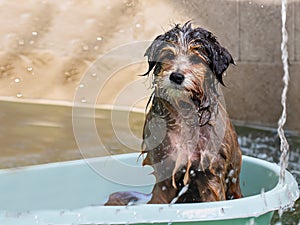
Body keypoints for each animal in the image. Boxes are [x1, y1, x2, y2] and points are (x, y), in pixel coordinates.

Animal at [104, 21, 243, 206]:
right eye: (169, 55)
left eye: (195, 59)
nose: (176, 76)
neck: (184, 112)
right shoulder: (164, 171)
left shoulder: (210, 175)